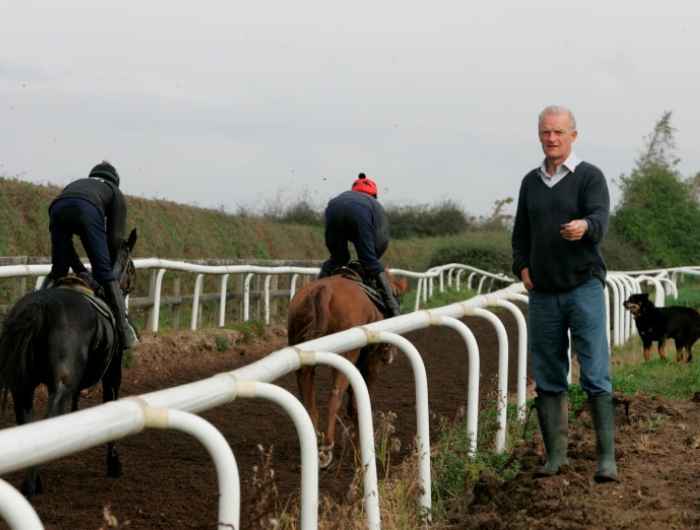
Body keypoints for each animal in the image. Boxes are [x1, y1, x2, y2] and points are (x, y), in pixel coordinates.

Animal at [0, 228, 138, 496]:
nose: (132, 282)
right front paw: (114, 464)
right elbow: (111, 403)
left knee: (26, 422)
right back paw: (31, 485)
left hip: (22, 386)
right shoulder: (113, 372)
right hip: (62, 386)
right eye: (131, 266)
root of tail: (39, 308)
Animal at [286, 270, 408, 464]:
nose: (390, 355)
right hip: (347, 356)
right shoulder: (371, 363)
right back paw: (327, 448)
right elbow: (357, 402)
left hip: (303, 356)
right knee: (334, 396)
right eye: (397, 295)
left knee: (309, 400)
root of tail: (324, 290)